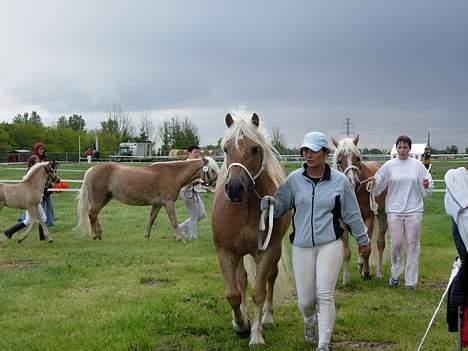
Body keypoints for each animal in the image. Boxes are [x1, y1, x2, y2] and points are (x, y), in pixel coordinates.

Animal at [77, 158, 219, 241]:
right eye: (212, 170)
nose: (217, 184)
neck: (173, 174)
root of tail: (91, 170)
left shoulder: (157, 204)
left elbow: (151, 220)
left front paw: (146, 237)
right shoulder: (168, 203)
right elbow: (173, 220)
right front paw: (180, 238)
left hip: (105, 198)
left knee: (95, 215)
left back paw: (99, 235)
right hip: (98, 199)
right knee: (92, 215)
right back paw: (94, 236)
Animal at [210, 112, 290, 346]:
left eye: (255, 149)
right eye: (226, 149)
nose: (234, 188)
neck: (244, 208)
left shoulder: (267, 251)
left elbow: (259, 292)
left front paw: (255, 335)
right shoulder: (226, 252)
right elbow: (233, 293)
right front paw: (240, 324)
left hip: (274, 251)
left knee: (271, 277)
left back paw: (268, 318)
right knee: (242, 280)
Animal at [332, 135, 388, 286]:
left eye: (357, 158)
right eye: (339, 160)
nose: (352, 183)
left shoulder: (369, 218)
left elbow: (367, 249)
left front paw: (365, 271)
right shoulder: (342, 223)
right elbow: (346, 252)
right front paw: (346, 279)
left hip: (382, 216)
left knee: (380, 244)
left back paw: (378, 272)